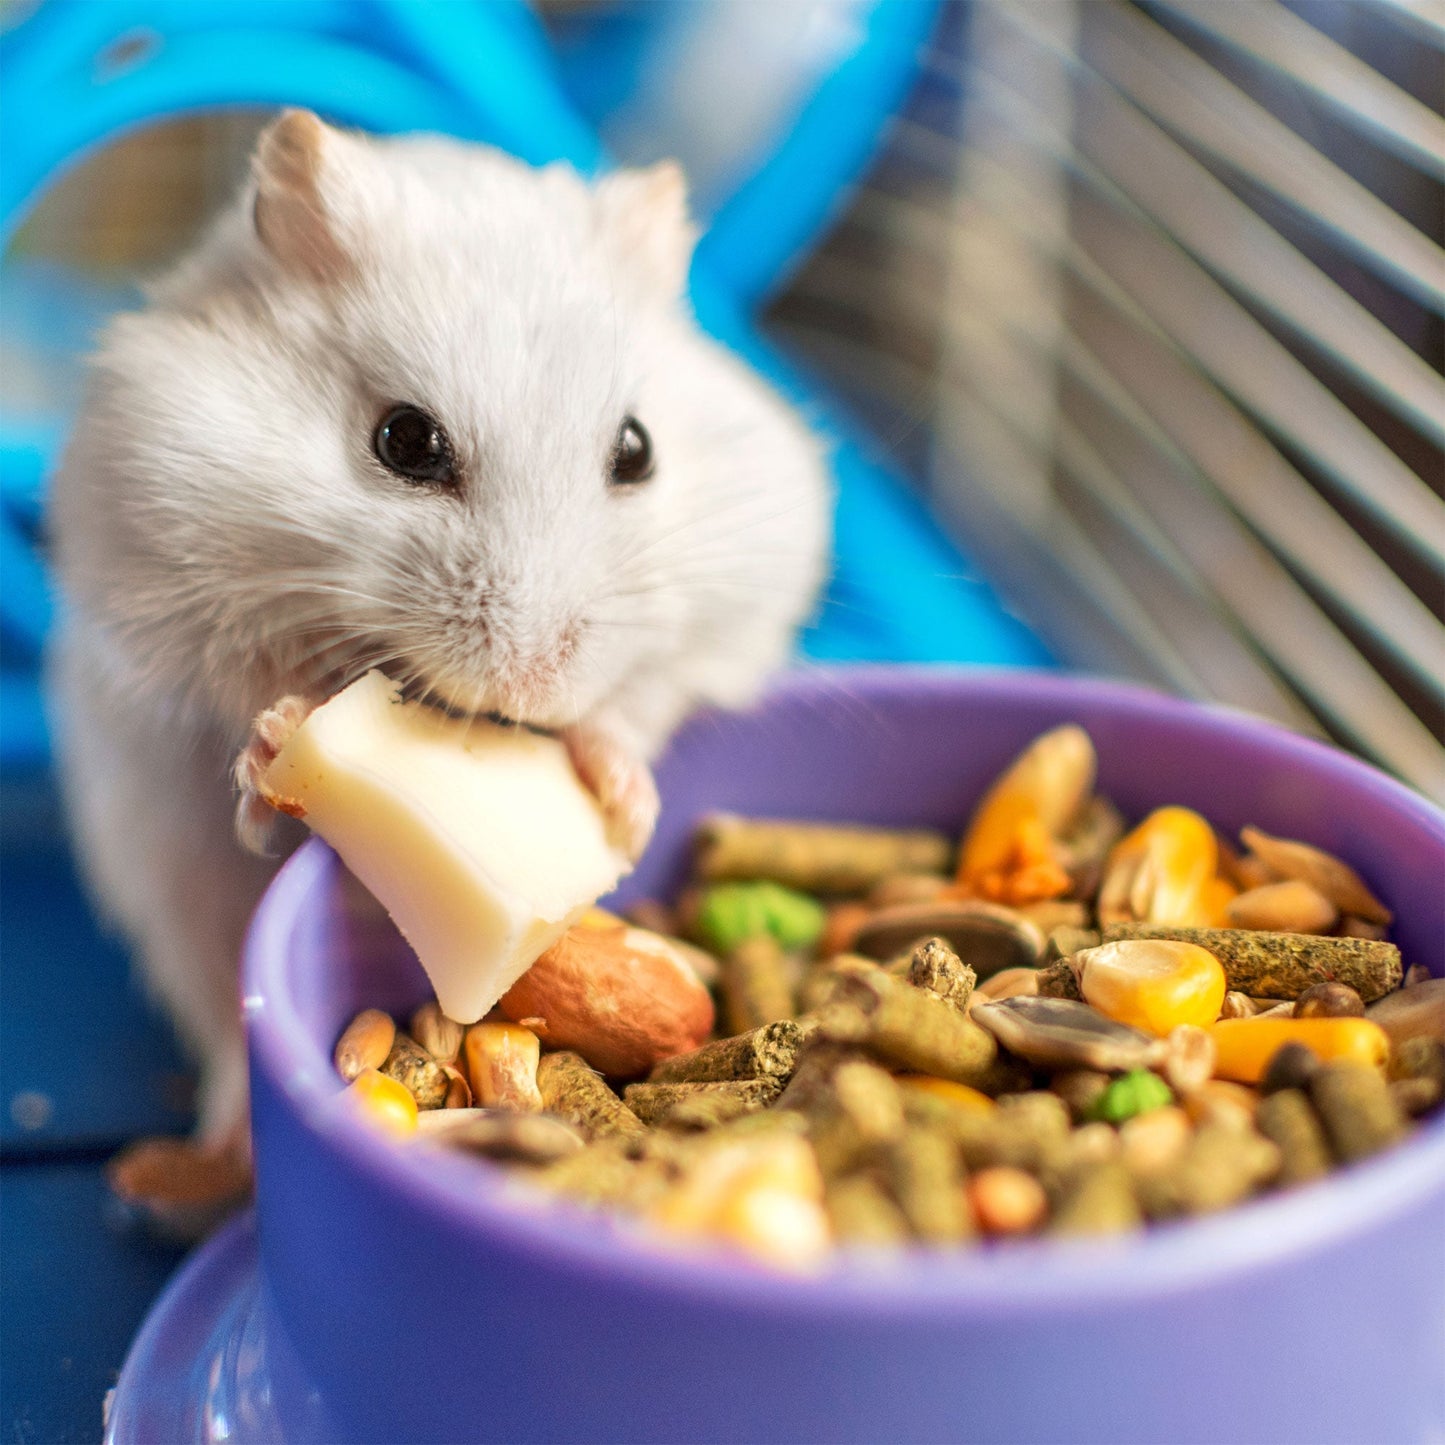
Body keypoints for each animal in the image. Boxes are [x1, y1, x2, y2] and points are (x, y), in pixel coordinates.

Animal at [46, 110, 831, 1175]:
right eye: (404, 441)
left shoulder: (732, 606)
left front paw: (623, 808)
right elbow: (248, 685)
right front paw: (278, 746)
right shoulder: (160, 573)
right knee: (220, 1021)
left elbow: (635, 705)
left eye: (637, 450)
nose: (529, 687)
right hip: (167, 882)